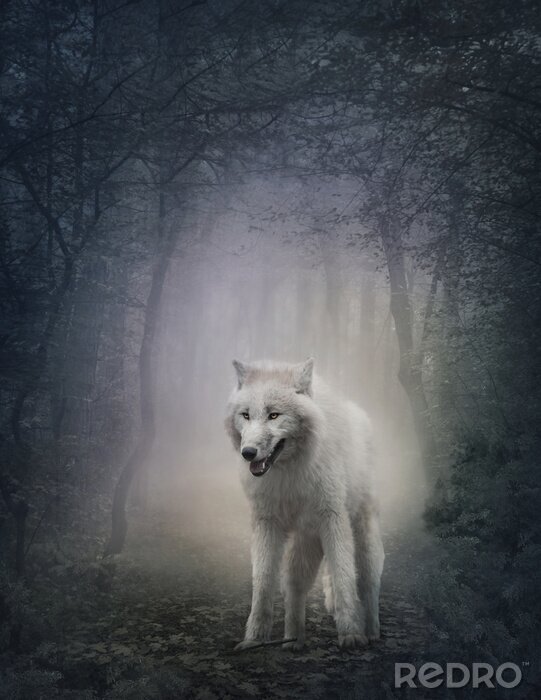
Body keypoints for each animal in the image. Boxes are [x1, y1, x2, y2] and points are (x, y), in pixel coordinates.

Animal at [225, 358, 384, 650]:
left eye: (274, 415)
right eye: (246, 415)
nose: (248, 453)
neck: (288, 473)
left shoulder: (333, 518)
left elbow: (344, 576)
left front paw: (352, 635)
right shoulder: (266, 524)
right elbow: (262, 584)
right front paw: (254, 640)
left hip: (360, 533)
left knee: (368, 579)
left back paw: (371, 630)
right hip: (305, 540)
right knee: (294, 584)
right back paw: (292, 639)